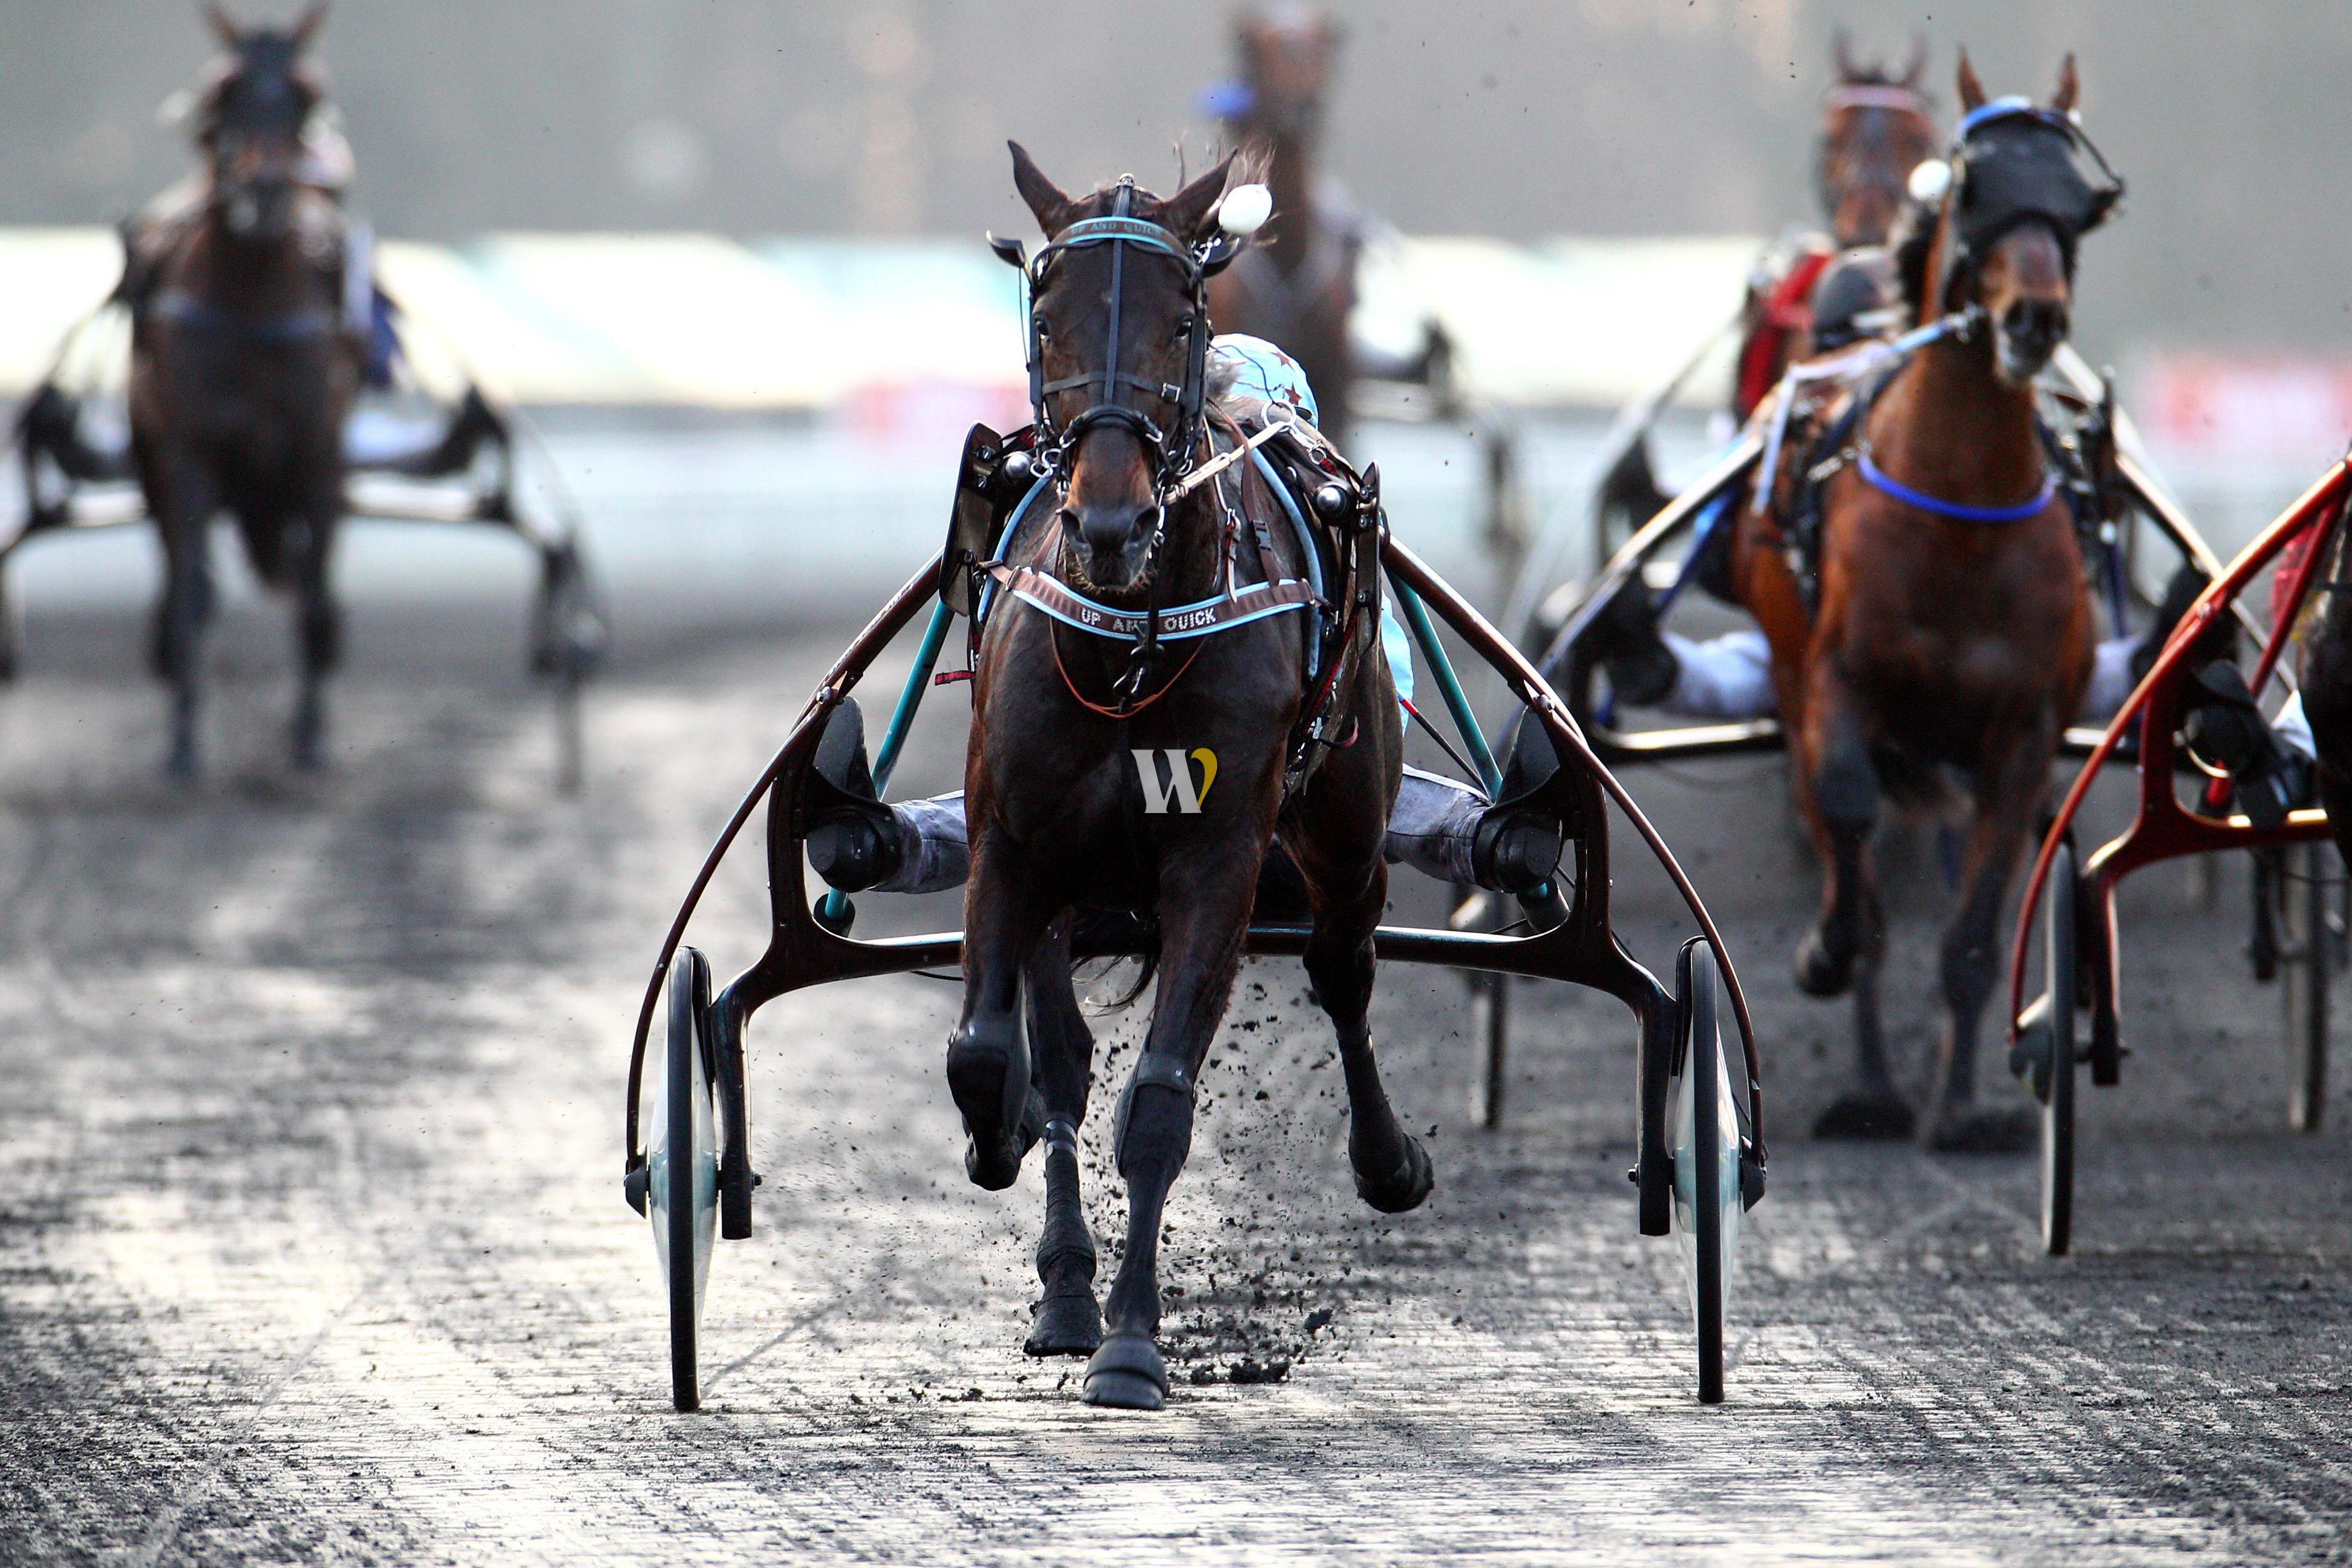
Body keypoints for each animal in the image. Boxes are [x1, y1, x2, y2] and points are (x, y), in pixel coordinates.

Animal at [129, 3, 353, 776]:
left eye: (306, 97)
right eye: (224, 94)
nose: (264, 191)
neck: (252, 298)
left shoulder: (317, 454)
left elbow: (314, 596)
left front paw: (312, 739)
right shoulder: (190, 454)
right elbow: (192, 596)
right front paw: (181, 747)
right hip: (154, 462)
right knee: (179, 579)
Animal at [950, 152, 1411, 1420]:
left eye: (1181, 317)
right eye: (1043, 314)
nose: (1108, 522)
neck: (1133, 643)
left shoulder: (1217, 863)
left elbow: (1157, 1098)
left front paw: (1131, 1344)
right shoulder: (1012, 843)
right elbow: (986, 1057)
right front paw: (999, 1142)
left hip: (1346, 829)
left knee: (1344, 971)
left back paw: (1387, 1158)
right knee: (1057, 1053)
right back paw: (1061, 1285)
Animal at [1731, 55, 2135, 1147]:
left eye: (2079, 203)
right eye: (1976, 185)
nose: (2032, 318)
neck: (1962, 509)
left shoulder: (2022, 730)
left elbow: (1975, 928)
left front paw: (1961, 1109)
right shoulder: (1838, 688)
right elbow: (1848, 835)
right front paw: (1831, 967)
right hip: (1791, 678)